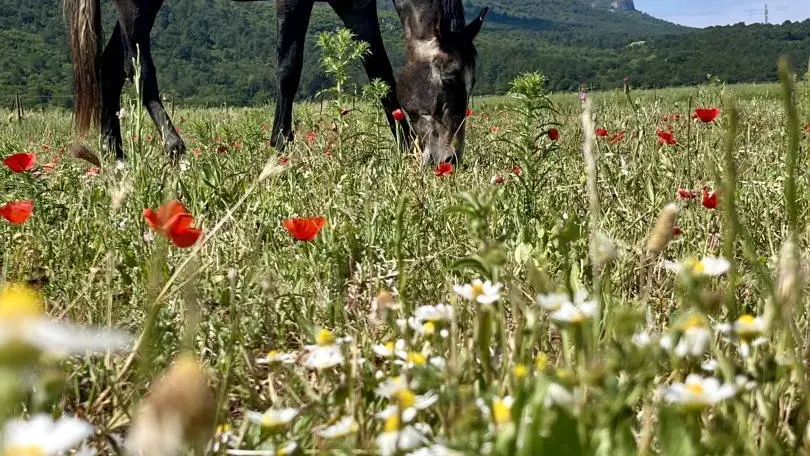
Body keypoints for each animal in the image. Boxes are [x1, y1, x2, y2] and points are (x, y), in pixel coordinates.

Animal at [63, 0, 486, 166]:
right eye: (449, 77)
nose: (449, 159)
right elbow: (288, 66)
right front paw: (280, 144)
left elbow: (379, 69)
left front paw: (404, 145)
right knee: (138, 66)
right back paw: (174, 146)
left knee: (109, 66)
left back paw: (114, 154)